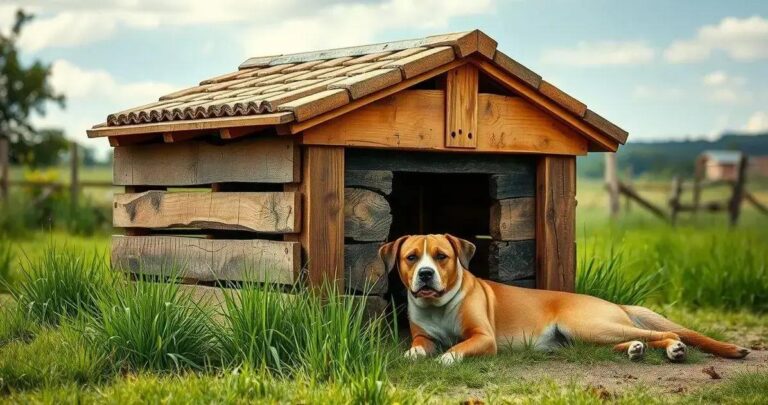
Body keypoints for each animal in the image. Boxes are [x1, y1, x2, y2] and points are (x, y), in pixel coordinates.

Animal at [378, 234, 752, 362]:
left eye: (441, 256)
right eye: (412, 257)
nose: (426, 274)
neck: (438, 305)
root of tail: (615, 304)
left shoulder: (483, 337)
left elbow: (457, 348)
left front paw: (446, 359)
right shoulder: (424, 336)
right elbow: (419, 346)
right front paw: (412, 356)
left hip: (590, 325)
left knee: (664, 332)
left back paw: (674, 349)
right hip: (588, 336)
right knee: (635, 340)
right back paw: (634, 350)